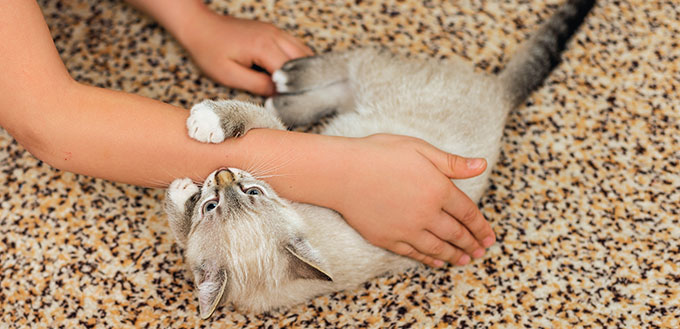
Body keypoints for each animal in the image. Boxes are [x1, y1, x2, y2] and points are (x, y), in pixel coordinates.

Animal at [163, 0, 596, 318]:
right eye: (212, 205)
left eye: (252, 192)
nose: (221, 175)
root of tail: (500, 97)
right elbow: (184, 230)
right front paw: (181, 192)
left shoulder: (279, 145)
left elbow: (249, 117)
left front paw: (206, 124)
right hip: (362, 97)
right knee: (341, 83)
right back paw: (284, 87)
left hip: (375, 80)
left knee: (355, 61)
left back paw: (286, 76)